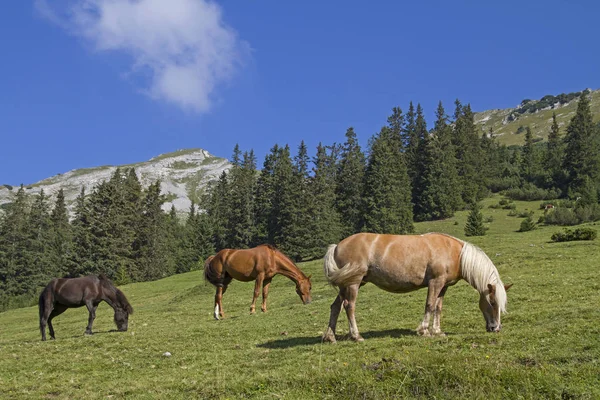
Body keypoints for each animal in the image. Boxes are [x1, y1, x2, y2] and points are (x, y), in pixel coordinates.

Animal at [322, 233, 512, 342]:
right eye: (492, 302)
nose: (496, 328)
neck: (455, 252)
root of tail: (337, 246)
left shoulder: (443, 286)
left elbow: (438, 307)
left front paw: (437, 331)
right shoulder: (435, 282)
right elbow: (429, 305)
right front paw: (424, 331)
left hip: (347, 284)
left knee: (336, 306)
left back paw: (330, 337)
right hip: (353, 283)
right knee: (349, 306)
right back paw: (356, 336)